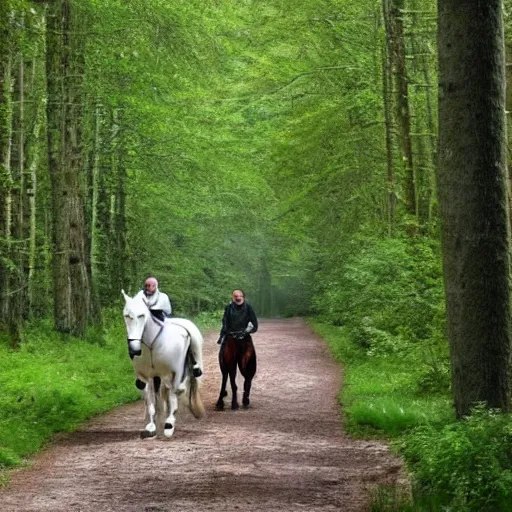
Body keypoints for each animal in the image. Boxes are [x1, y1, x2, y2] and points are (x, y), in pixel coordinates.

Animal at [121, 290, 204, 438]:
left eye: (141, 315)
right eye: (127, 315)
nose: (134, 349)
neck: (151, 344)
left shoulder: (176, 372)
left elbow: (174, 392)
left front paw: (169, 425)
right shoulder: (145, 375)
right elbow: (149, 398)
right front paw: (151, 426)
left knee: (176, 390)